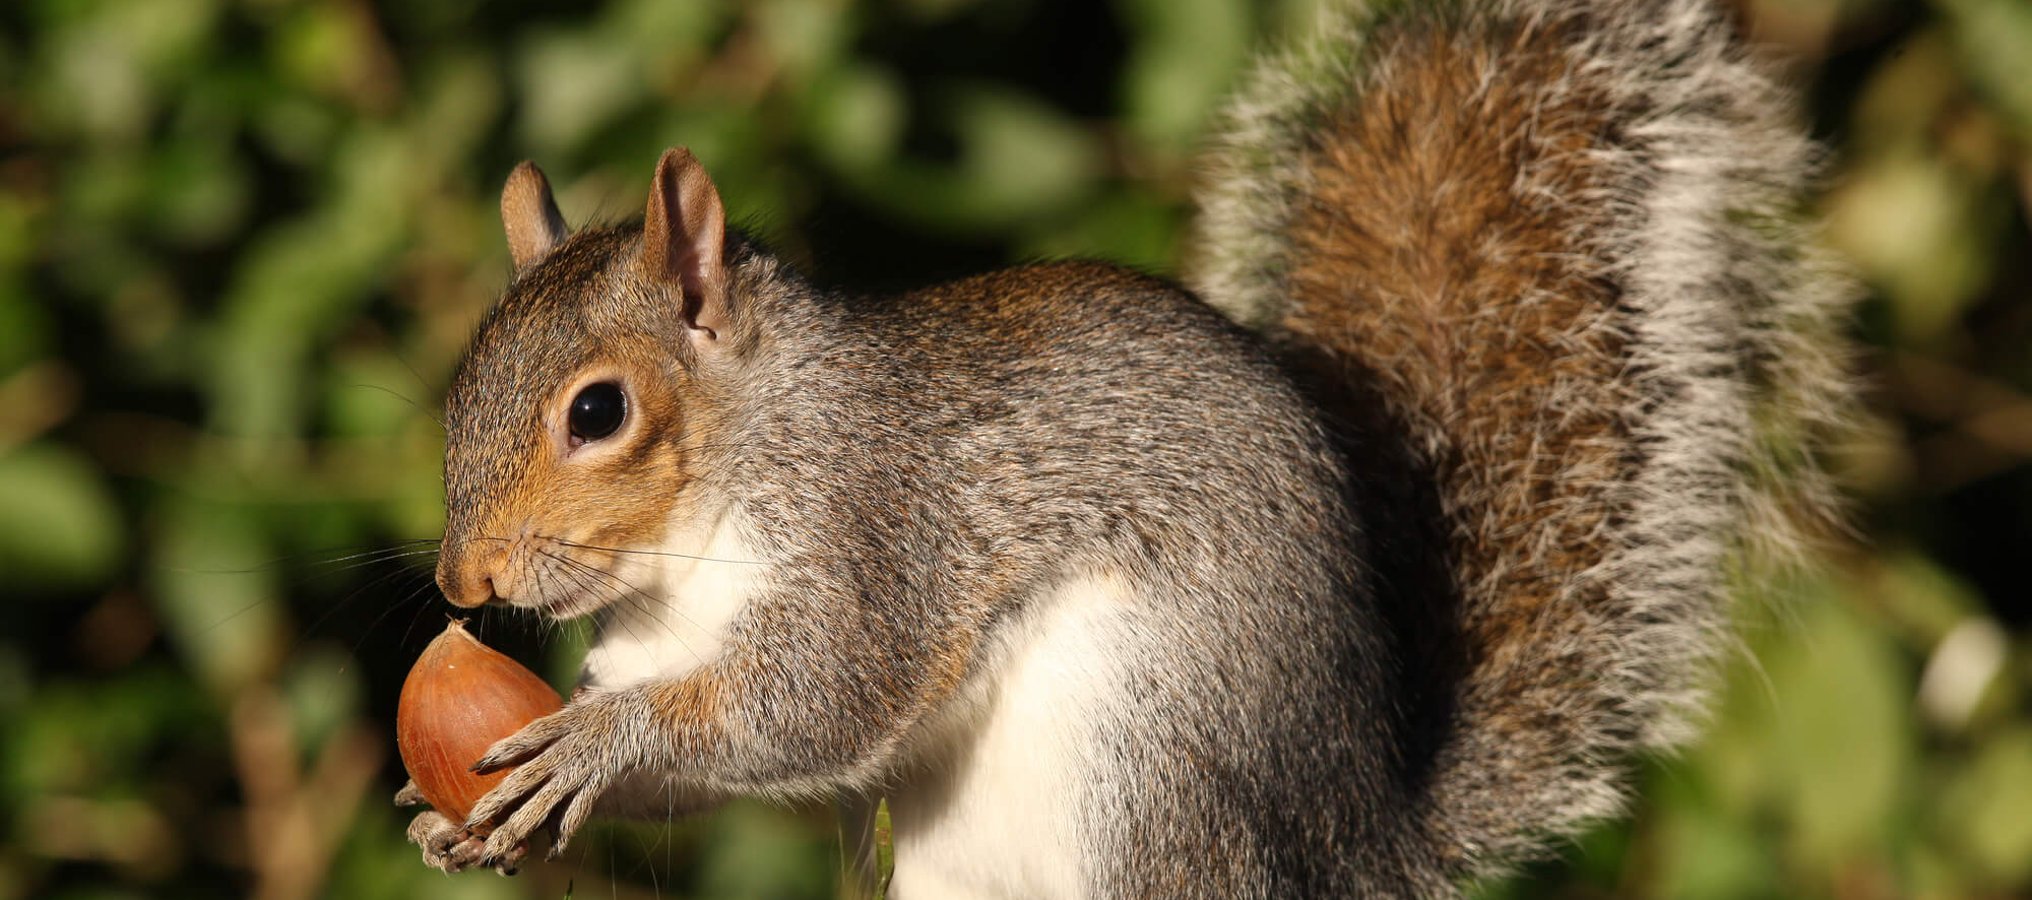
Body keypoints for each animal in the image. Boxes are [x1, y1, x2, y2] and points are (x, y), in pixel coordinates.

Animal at [398, 0, 1855, 894]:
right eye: (462, 379)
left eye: (598, 412)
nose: (463, 586)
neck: (693, 542)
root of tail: (1358, 845)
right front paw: (470, 819)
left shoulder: (879, 529)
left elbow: (813, 701)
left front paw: (601, 746)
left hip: (1149, 761)